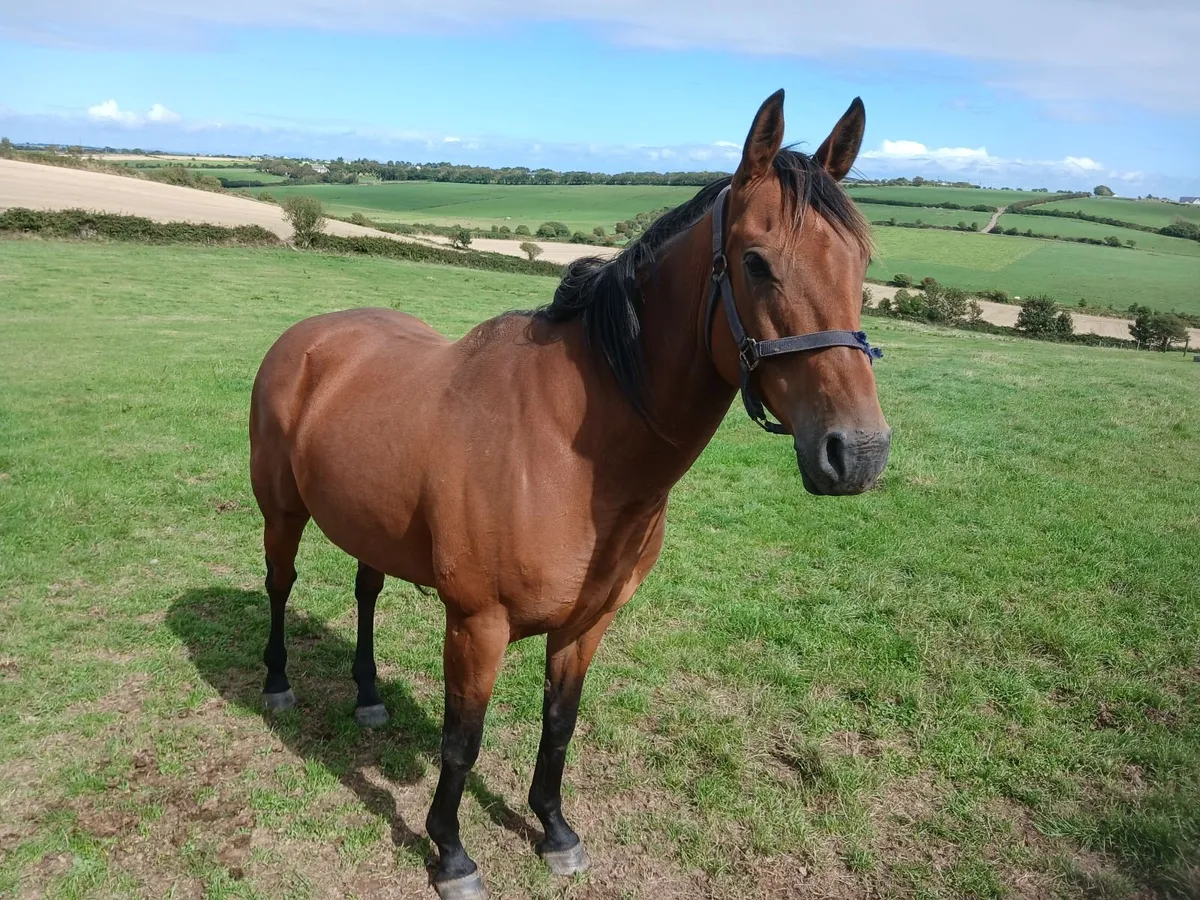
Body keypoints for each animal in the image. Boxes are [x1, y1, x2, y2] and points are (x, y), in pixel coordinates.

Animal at [248, 89, 890, 899]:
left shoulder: (588, 624)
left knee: (366, 592)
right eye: (756, 263)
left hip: (373, 528)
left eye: (861, 264)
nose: (859, 453)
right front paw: (451, 854)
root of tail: (306, 339)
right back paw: (276, 683)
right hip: (281, 512)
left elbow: (559, 725)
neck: (570, 453)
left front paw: (554, 831)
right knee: (279, 583)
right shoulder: (478, 624)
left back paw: (368, 697)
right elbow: (463, 741)